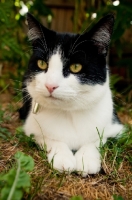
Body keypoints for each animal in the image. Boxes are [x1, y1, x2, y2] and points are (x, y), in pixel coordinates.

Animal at [19, 12, 123, 176]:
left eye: (76, 67)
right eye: (42, 64)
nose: (50, 85)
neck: (69, 113)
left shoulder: (114, 128)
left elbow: (96, 139)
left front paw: (86, 160)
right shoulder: (31, 128)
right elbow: (48, 137)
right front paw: (63, 157)